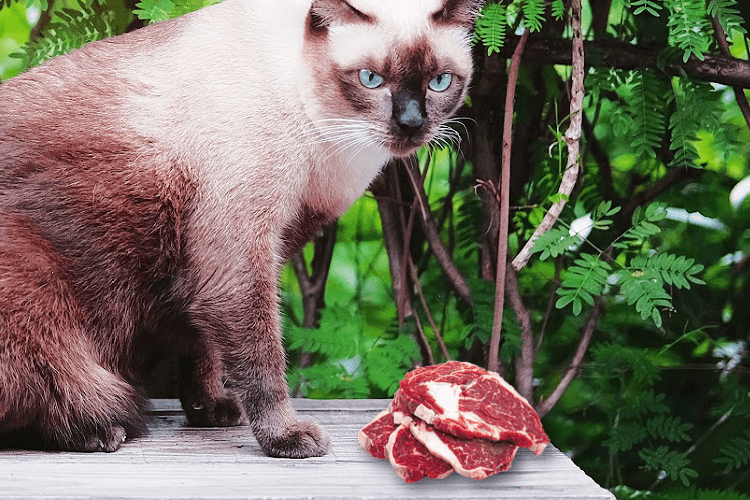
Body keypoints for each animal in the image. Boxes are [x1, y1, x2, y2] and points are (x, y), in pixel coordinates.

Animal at [0, 0, 482, 458]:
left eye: (440, 82)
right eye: (370, 79)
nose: (411, 124)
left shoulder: (238, 254)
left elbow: (203, 351)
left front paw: (209, 410)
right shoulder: (238, 257)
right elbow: (262, 361)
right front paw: (285, 437)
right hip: (35, 290)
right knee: (62, 385)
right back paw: (96, 430)